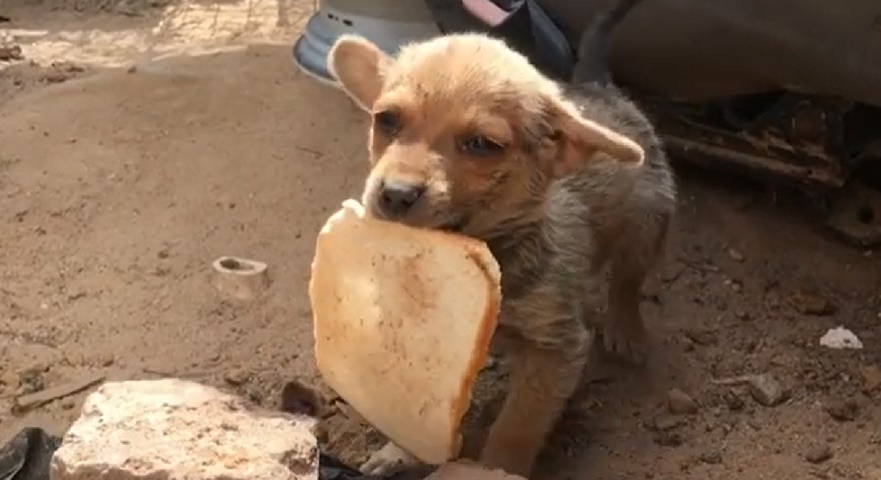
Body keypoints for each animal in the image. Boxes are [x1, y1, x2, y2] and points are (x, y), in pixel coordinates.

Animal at [326, 2, 676, 476]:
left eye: (481, 144)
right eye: (387, 120)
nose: (394, 194)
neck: (495, 252)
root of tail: (598, 88)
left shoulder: (555, 351)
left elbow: (516, 428)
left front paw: (493, 469)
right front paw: (399, 451)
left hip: (647, 225)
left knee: (627, 282)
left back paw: (626, 327)